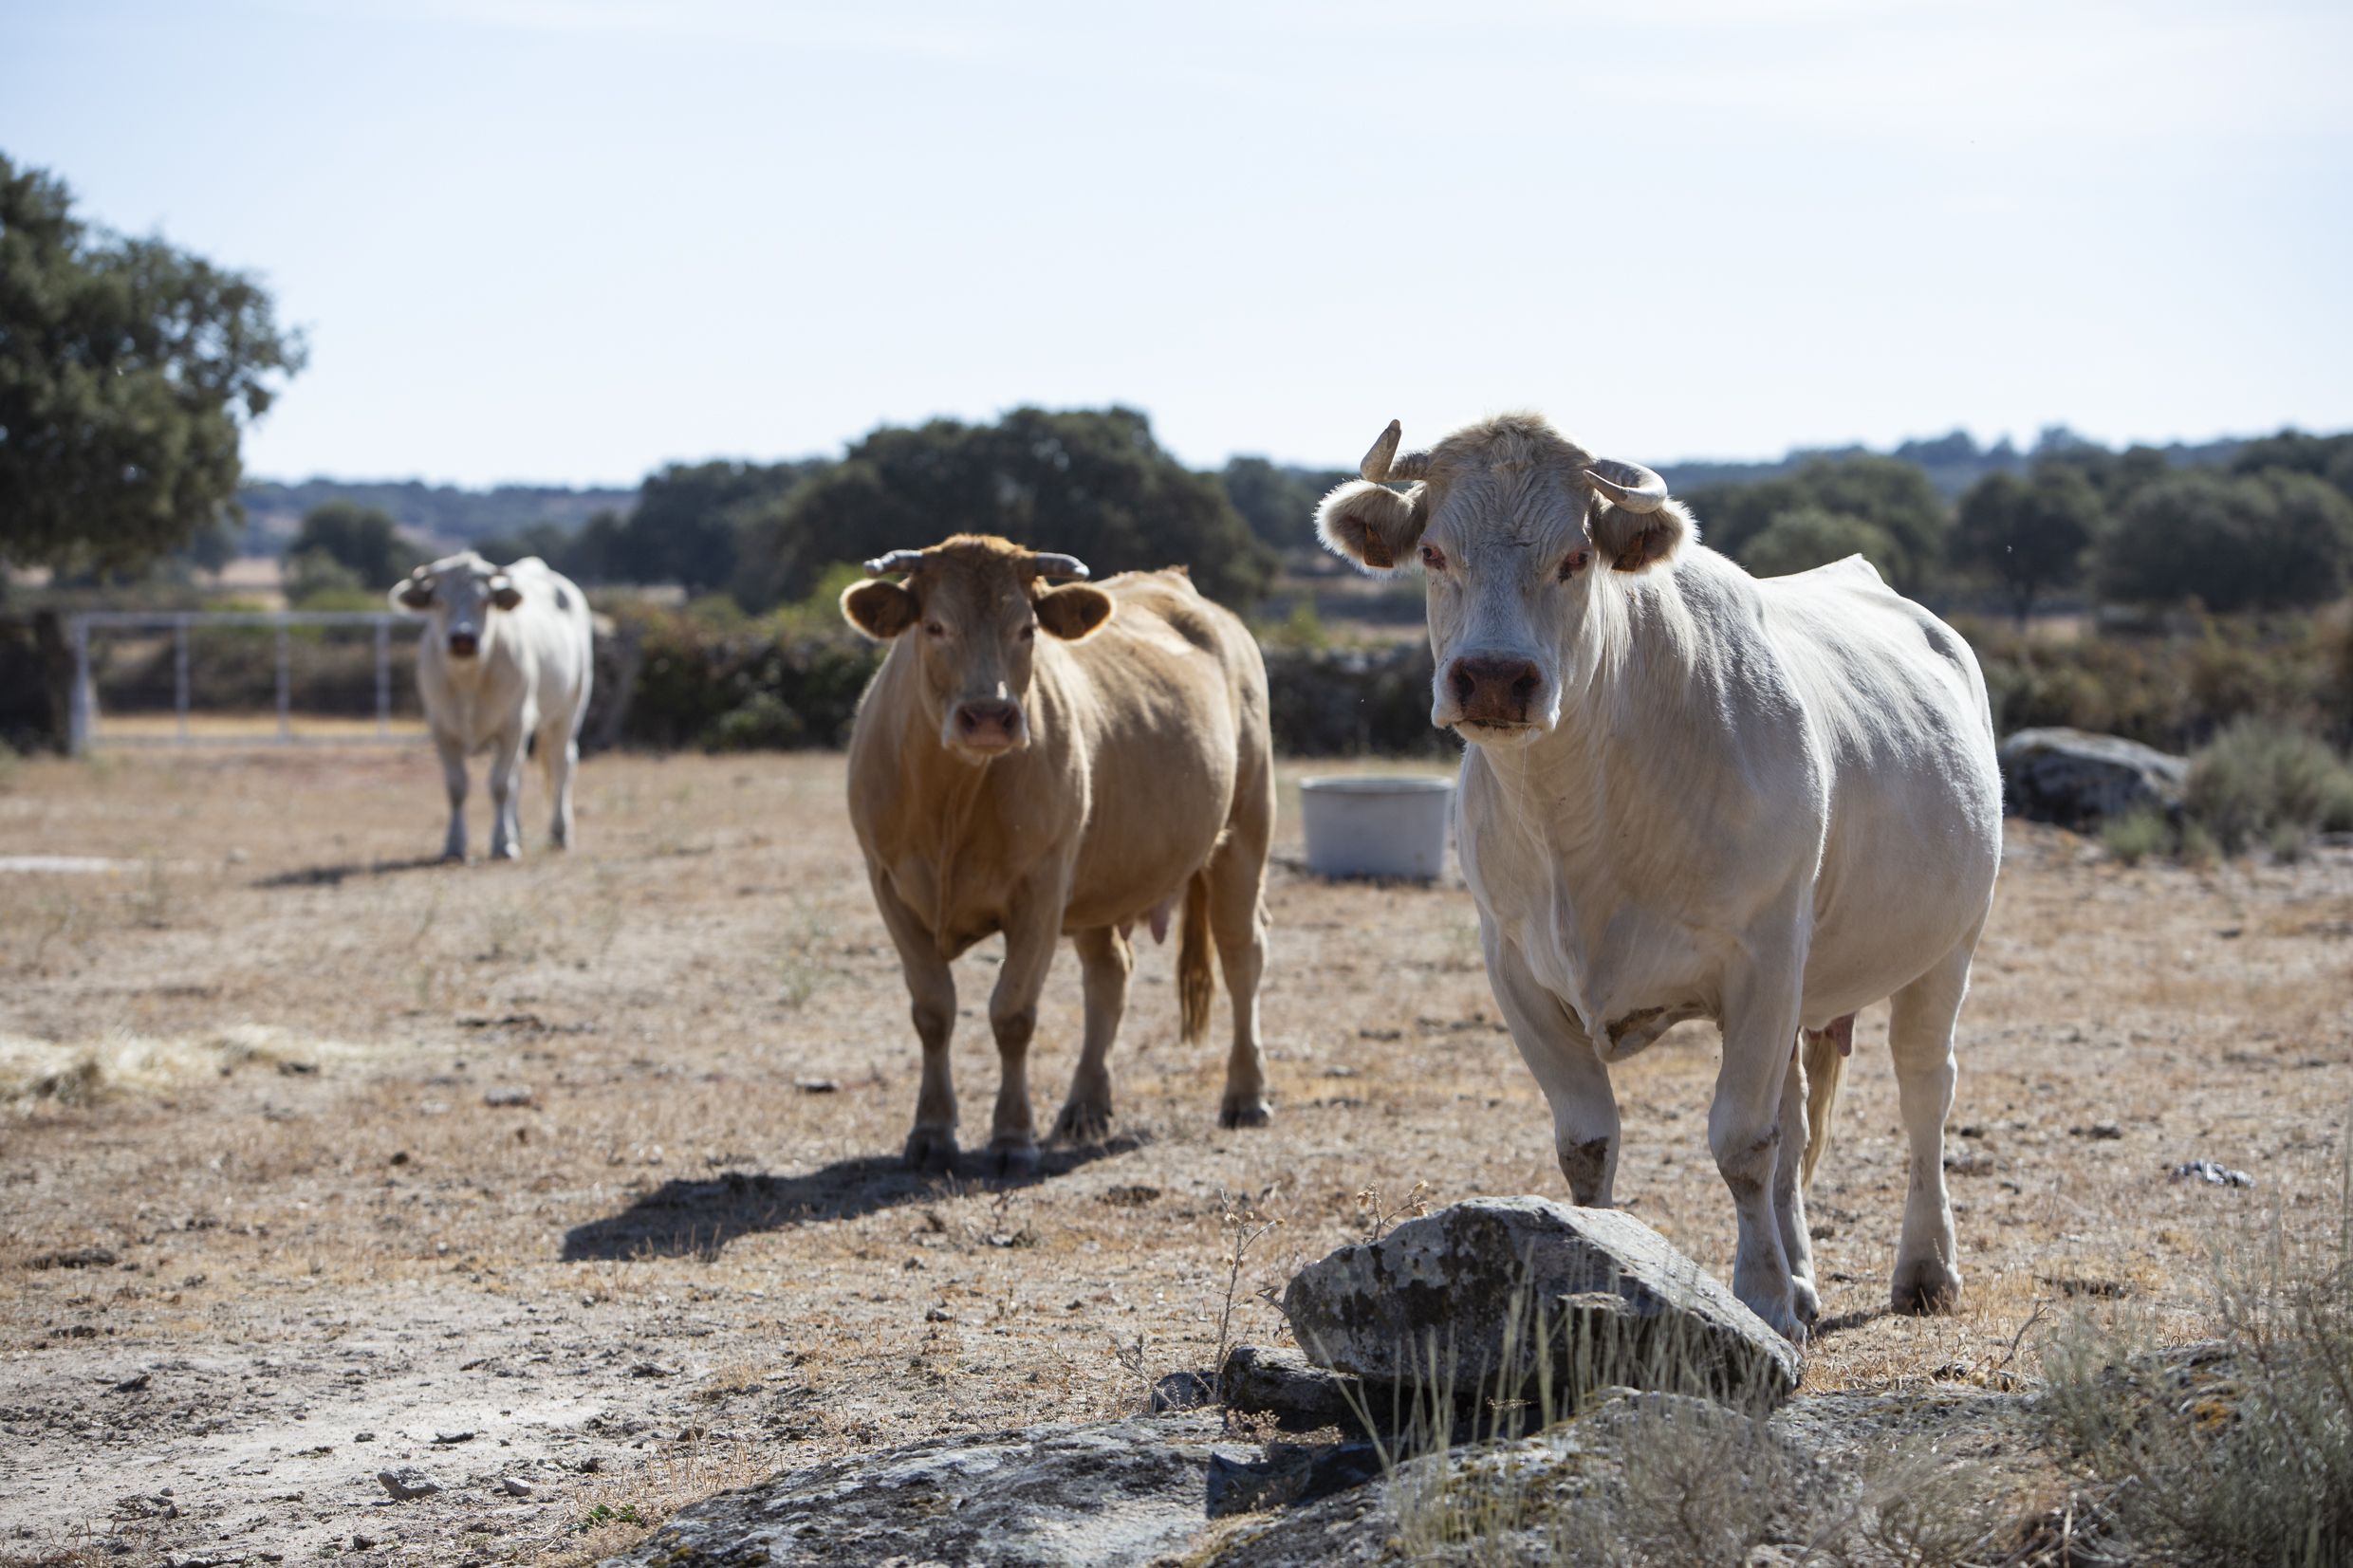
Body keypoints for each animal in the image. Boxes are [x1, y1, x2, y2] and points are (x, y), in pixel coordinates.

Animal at [390, 552, 592, 864]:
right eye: (438, 601)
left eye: (485, 601)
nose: (463, 639)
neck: (470, 678)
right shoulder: (441, 728)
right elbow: (457, 787)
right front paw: (454, 845)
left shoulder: (513, 724)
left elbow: (500, 785)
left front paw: (503, 844)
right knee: (520, 772)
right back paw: (517, 829)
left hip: (570, 707)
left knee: (562, 764)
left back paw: (559, 832)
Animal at [832, 533, 1270, 1171]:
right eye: (935, 626)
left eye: (1027, 629)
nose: (990, 716)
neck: (951, 800)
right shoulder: (889, 885)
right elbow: (933, 1011)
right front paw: (932, 1131)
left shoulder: (1040, 890)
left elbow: (1012, 1013)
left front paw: (1013, 1137)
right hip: (1100, 877)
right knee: (1109, 975)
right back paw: (1084, 1106)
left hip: (1245, 830)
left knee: (1242, 956)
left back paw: (1246, 1094)